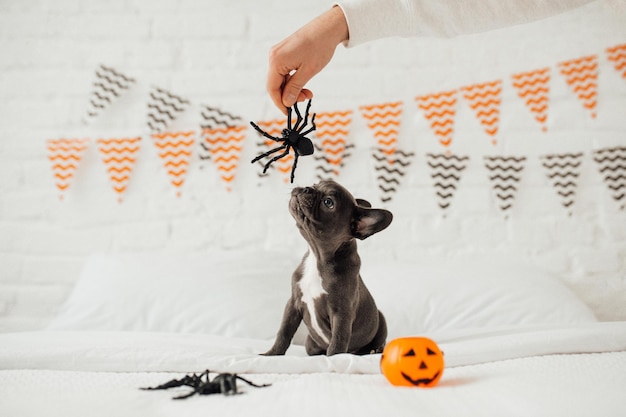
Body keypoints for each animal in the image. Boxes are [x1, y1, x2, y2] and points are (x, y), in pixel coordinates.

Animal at [262, 179, 390, 354]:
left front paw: (333, 359)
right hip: (310, 343)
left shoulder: (341, 313)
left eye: (328, 202)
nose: (307, 188)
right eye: (316, 184)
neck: (318, 258)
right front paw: (271, 354)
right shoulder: (293, 303)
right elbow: (283, 332)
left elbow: (338, 340)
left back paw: (374, 350)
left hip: (381, 320)